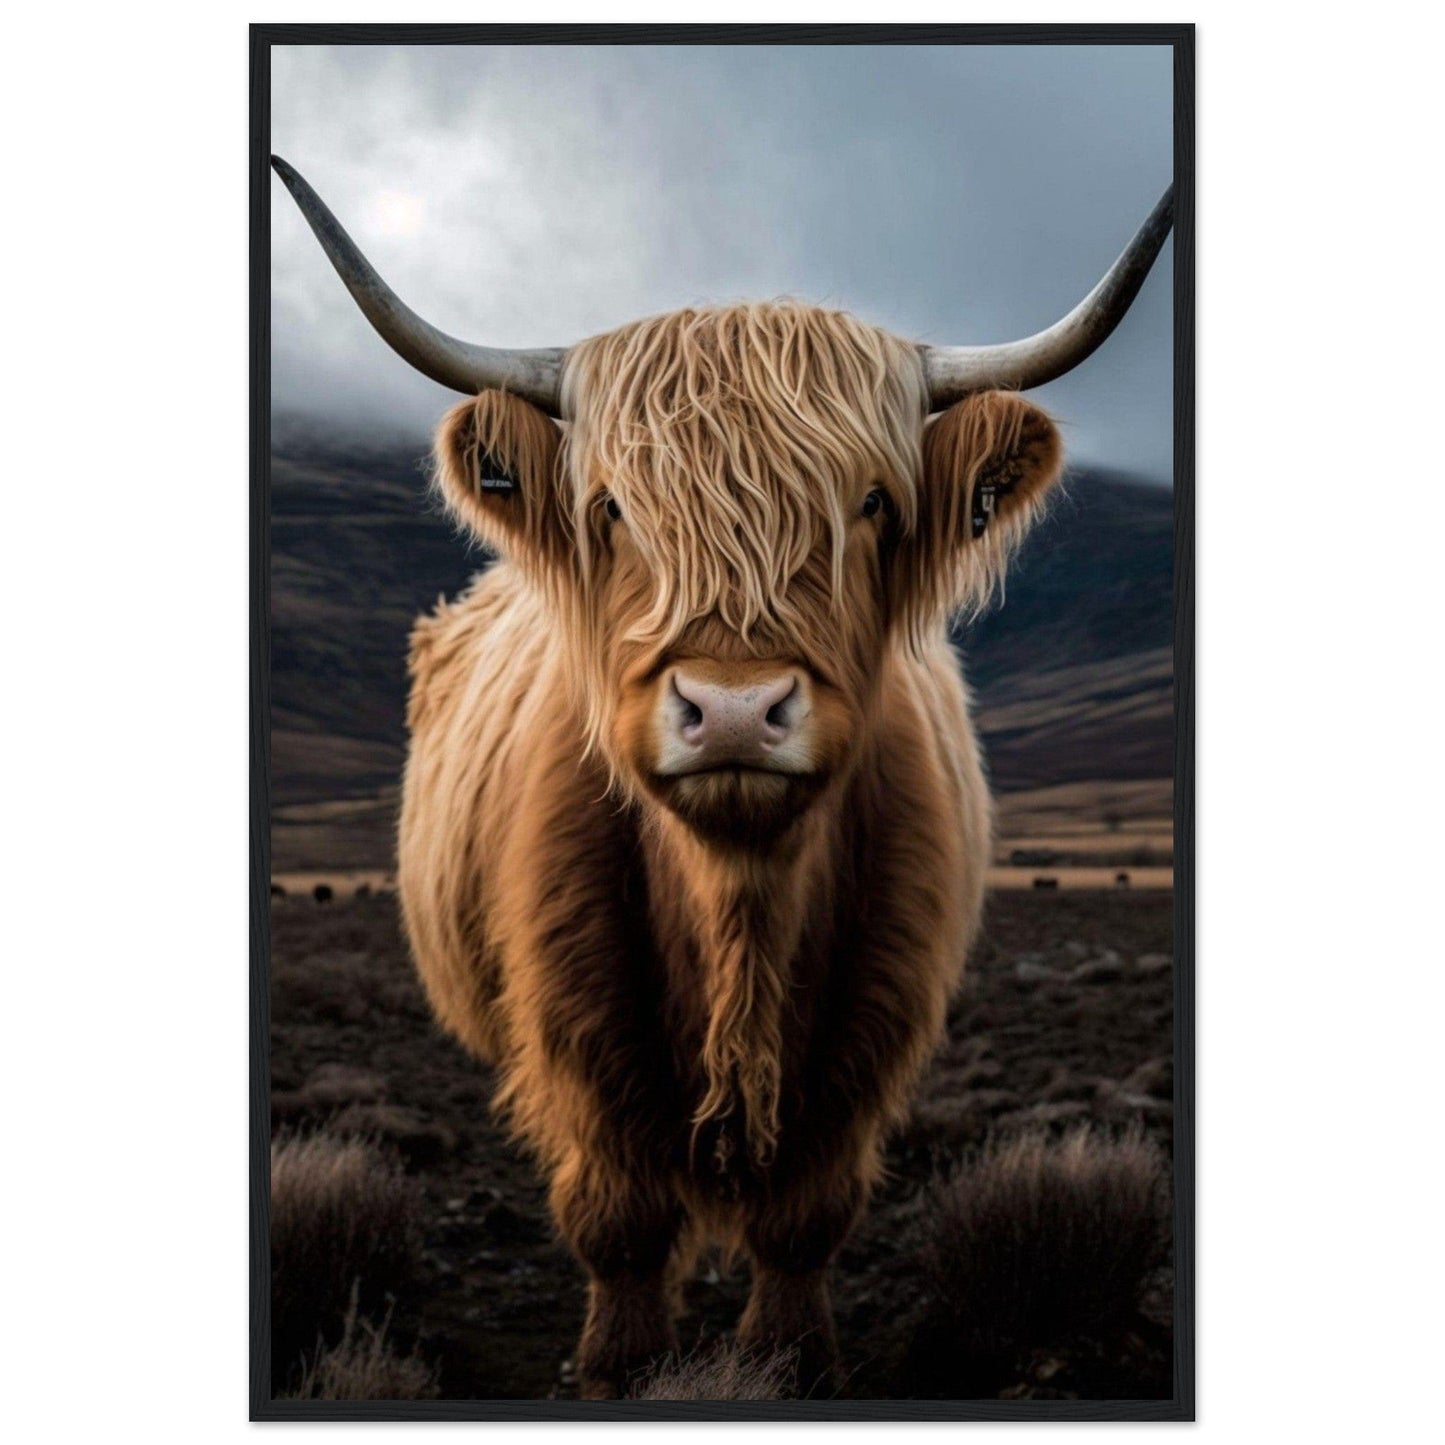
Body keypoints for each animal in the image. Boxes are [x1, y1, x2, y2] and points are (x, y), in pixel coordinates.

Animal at [272, 156, 1173, 1399]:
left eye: (872, 503)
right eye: (611, 507)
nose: (735, 709)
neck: (736, 908)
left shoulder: (871, 1028)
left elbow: (804, 1219)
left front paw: (789, 1357)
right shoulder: (573, 1028)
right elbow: (617, 1220)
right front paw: (618, 1364)